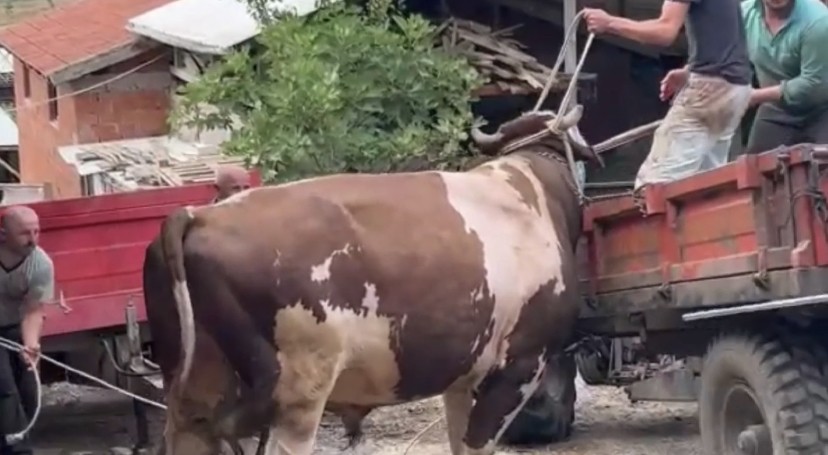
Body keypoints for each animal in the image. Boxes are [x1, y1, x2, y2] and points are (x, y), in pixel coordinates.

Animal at [149, 105, 600, 454]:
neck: (534, 189)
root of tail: (198, 215)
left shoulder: (462, 377)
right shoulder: (521, 364)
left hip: (193, 395)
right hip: (298, 394)